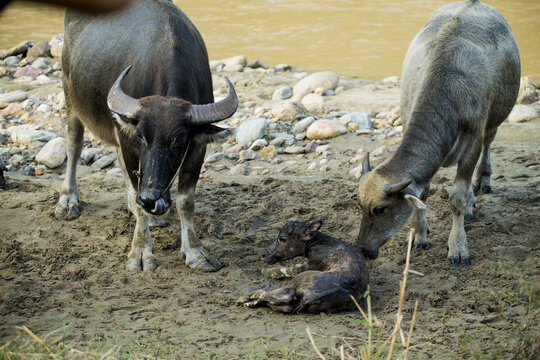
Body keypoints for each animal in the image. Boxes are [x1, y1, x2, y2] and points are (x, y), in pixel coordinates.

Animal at [56, 0, 238, 270]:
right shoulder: (129, 141)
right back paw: (69, 200)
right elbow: (136, 188)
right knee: (74, 143)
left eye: (179, 140)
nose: (150, 199)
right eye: (141, 137)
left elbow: (186, 201)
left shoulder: (197, 147)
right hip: (71, 96)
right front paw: (141, 251)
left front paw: (195, 252)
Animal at [238, 218, 370, 314]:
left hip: (299, 280)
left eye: (282, 239)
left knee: (278, 294)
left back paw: (246, 298)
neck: (321, 243)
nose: (264, 255)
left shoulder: (310, 264)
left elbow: (291, 268)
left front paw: (265, 271)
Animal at [354, 0, 520, 264]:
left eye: (380, 209)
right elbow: (422, 196)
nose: (362, 249)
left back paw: (483, 181)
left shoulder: (473, 139)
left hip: (495, 119)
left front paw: (458, 248)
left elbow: (457, 199)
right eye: (359, 206)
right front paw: (418, 237)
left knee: (489, 143)